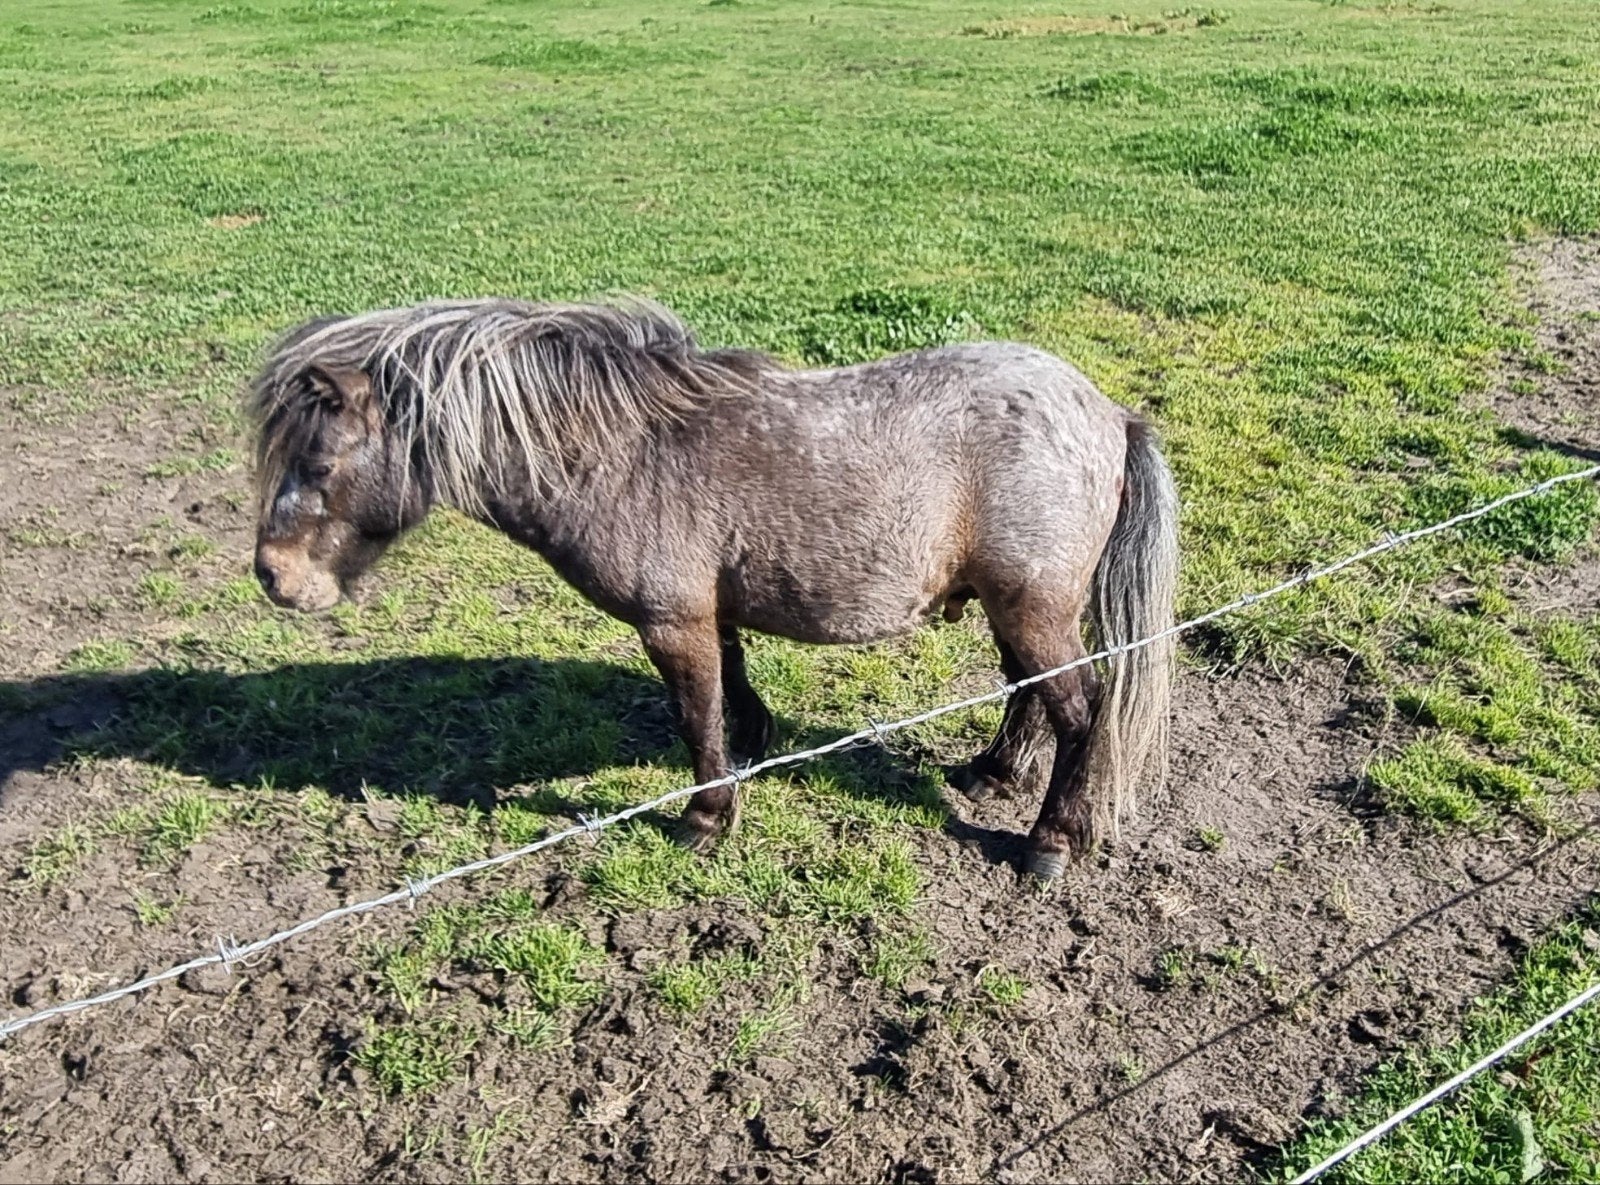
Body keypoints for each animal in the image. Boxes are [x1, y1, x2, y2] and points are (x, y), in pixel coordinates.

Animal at [246, 297, 1179, 879]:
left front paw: (705, 817)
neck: (623, 453)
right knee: (1030, 695)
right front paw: (756, 746)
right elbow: (733, 684)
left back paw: (1050, 840)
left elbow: (696, 716)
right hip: (1013, 605)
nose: (274, 576)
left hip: (1030, 605)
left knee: (1082, 713)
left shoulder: (671, 623)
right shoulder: (709, 611)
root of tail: (1109, 413)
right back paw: (992, 773)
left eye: (319, 464)